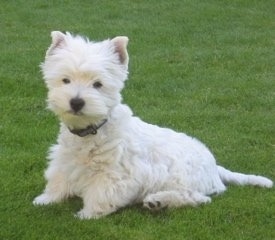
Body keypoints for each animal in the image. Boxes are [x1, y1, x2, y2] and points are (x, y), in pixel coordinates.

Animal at [33, 31, 272, 219]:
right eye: (65, 80)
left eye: (98, 84)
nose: (76, 102)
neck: (93, 130)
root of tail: (215, 166)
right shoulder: (64, 161)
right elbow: (58, 182)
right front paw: (45, 199)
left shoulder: (114, 175)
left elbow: (101, 194)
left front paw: (86, 214)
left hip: (182, 175)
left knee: (197, 198)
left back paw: (158, 201)